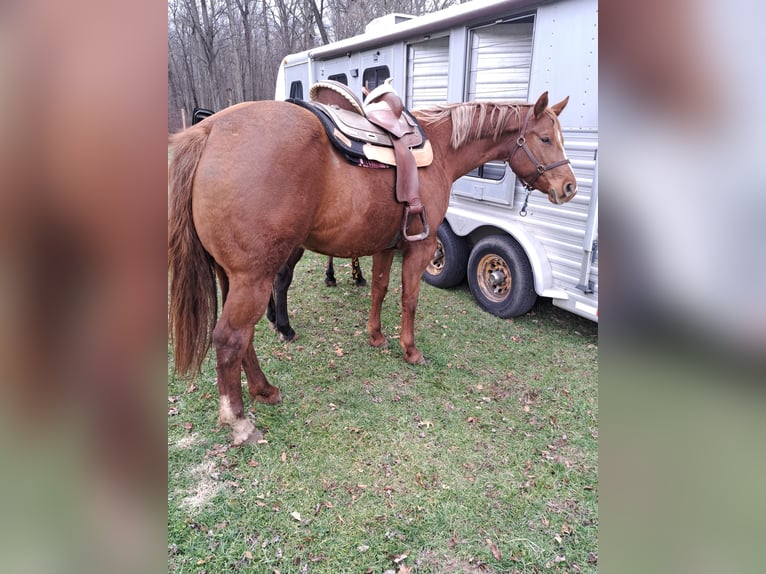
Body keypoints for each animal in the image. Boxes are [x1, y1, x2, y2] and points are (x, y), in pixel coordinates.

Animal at [168, 91, 576, 445]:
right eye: (544, 138)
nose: (569, 187)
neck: (440, 150)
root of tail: (209, 130)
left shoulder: (384, 246)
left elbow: (379, 289)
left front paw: (377, 337)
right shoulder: (420, 247)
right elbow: (409, 299)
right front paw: (410, 350)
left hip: (232, 276)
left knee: (245, 338)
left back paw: (264, 389)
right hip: (254, 277)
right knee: (230, 339)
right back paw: (239, 420)